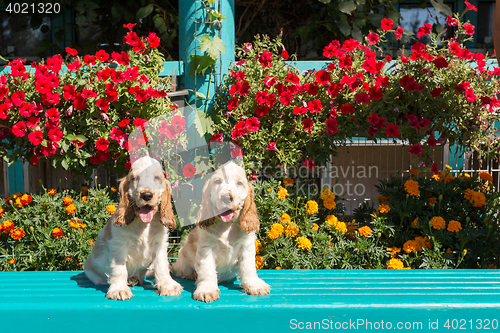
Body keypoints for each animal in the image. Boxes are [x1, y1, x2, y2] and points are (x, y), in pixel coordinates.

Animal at [83, 156, 182, 300]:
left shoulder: (160, 244)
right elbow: (119, 269)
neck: (144, 224)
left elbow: (162, 265)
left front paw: (168, 286)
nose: (146, 195)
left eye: (157, 178)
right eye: (135, 178)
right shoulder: (119, 245)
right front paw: (119, 289)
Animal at [173, 160, 274, 300]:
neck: (227, 226)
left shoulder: (246, 247)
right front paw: (207, 290)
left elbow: (248, 268)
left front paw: (255, 286)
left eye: (239, 183)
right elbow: (207, 271)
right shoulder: (206, 248)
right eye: (217, 181)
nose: (226, 197)